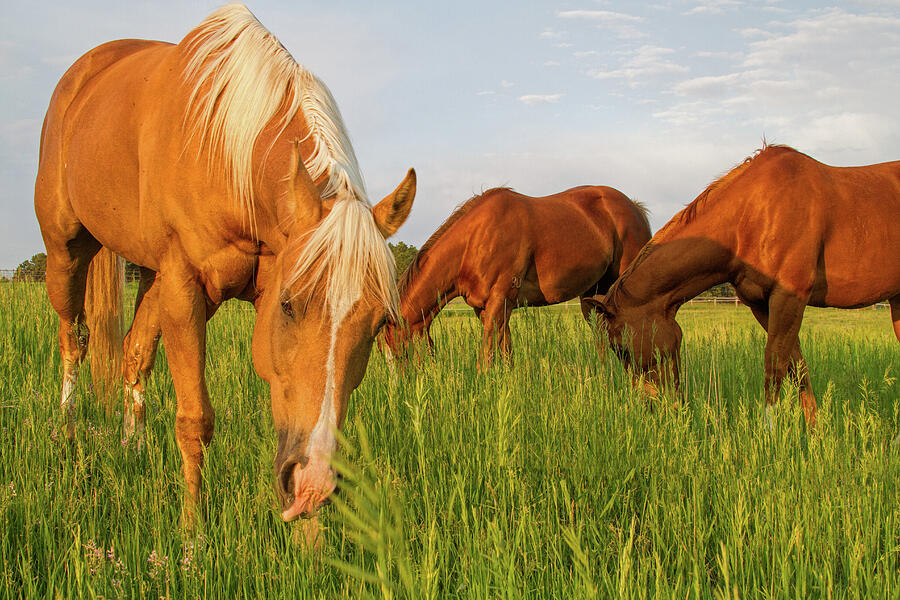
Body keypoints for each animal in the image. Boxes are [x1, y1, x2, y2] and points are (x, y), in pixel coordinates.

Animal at [33, 3, 416, 524]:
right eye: (291, 305)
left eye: (379, 325)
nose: (315, 485)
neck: (225, 148)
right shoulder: (184, 287)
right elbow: (194, 419)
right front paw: (193, 532)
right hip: (65, 252)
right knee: (73, 341)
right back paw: (67, 436)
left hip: (149, 275)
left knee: (134, 352)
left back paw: (132, 451)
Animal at [384, 185, 652, 368]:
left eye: (399, 352)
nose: (399, 390)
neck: (476, 239)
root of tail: (634, 207)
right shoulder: (489, 309)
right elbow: (506, 353)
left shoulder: (499, 300)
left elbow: (487, 356)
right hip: (593, 295)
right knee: (601, 336)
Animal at [584, 145, 900, 426]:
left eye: (622, 349)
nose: (652, 407)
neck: (755, 213)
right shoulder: (761, 304)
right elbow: (797, 367)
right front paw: (814, 433)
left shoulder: (789, 298)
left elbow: (775, 363)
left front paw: (769, 433)